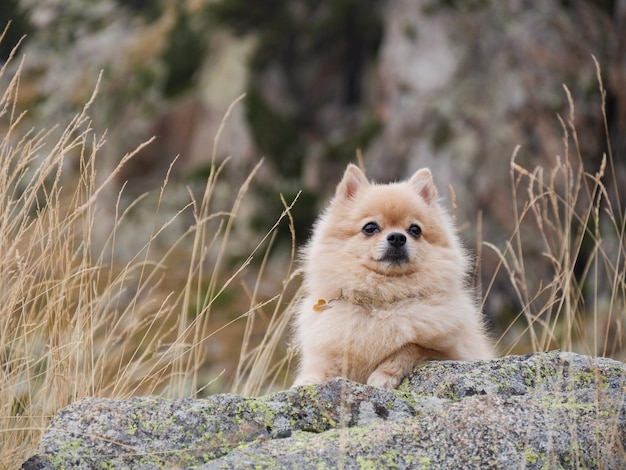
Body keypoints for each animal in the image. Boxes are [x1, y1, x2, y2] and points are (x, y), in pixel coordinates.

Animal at [290, 163, 490, 388]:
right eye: (370, 228)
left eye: (415, 230)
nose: (397, 237)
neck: (383, 299)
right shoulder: (327, 356)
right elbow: (315, 373)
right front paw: (304, 383)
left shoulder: (452, 352)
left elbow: (410, 348)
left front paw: (383, 374)